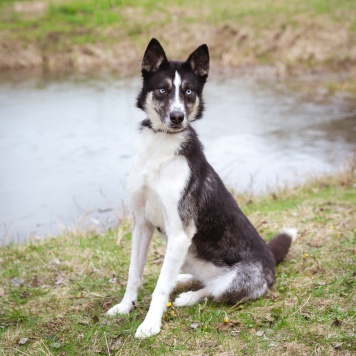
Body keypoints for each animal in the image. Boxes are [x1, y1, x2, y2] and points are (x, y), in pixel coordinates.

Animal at [106, 39, 298, 340]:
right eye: (162, 89)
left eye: (188, 91)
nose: (177, 117)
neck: (161, 149)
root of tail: (271, 262)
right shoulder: (142, 224)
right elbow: (133, 274)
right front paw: (125, 306)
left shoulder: (180, 232)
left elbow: (160, 288)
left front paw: (150, 324)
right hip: (185, 253)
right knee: (189, 275)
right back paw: (182, 279)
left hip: (235, 277)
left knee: (214, 290)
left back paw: (188, 296)